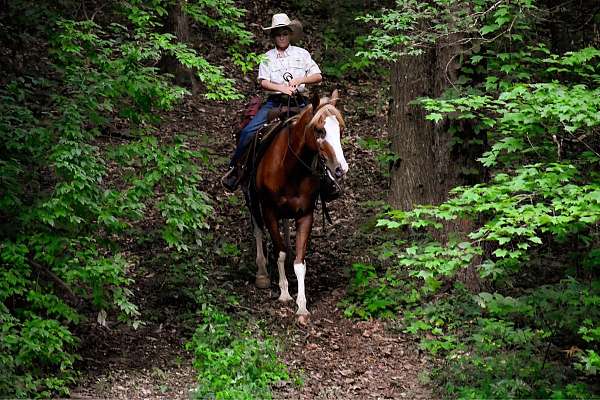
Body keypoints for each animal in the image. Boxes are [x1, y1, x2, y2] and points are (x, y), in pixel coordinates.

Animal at [243, 89, 346, 324]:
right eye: (320, 130)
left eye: (341, 130)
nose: (340, 169)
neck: (289, 168)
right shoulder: (269, 210)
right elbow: (278, 251)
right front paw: (283, 293)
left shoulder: (306, 214)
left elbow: (300, 263)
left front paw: (302, 305)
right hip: (251, 197)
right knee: (258, 231)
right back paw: (262, 272)